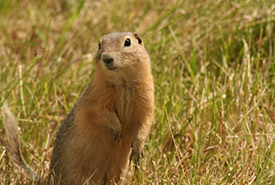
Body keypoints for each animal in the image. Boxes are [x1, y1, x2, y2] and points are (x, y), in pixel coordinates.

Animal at [3, 31, 155, 184]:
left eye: (128, 42)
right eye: (99, 44)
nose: (106, 58)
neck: (122, 81)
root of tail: (50, 180)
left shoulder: (147, 101)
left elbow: (144, 124)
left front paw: (138, 151)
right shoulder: (96, 97)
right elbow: (100, 112)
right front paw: (117, 129)